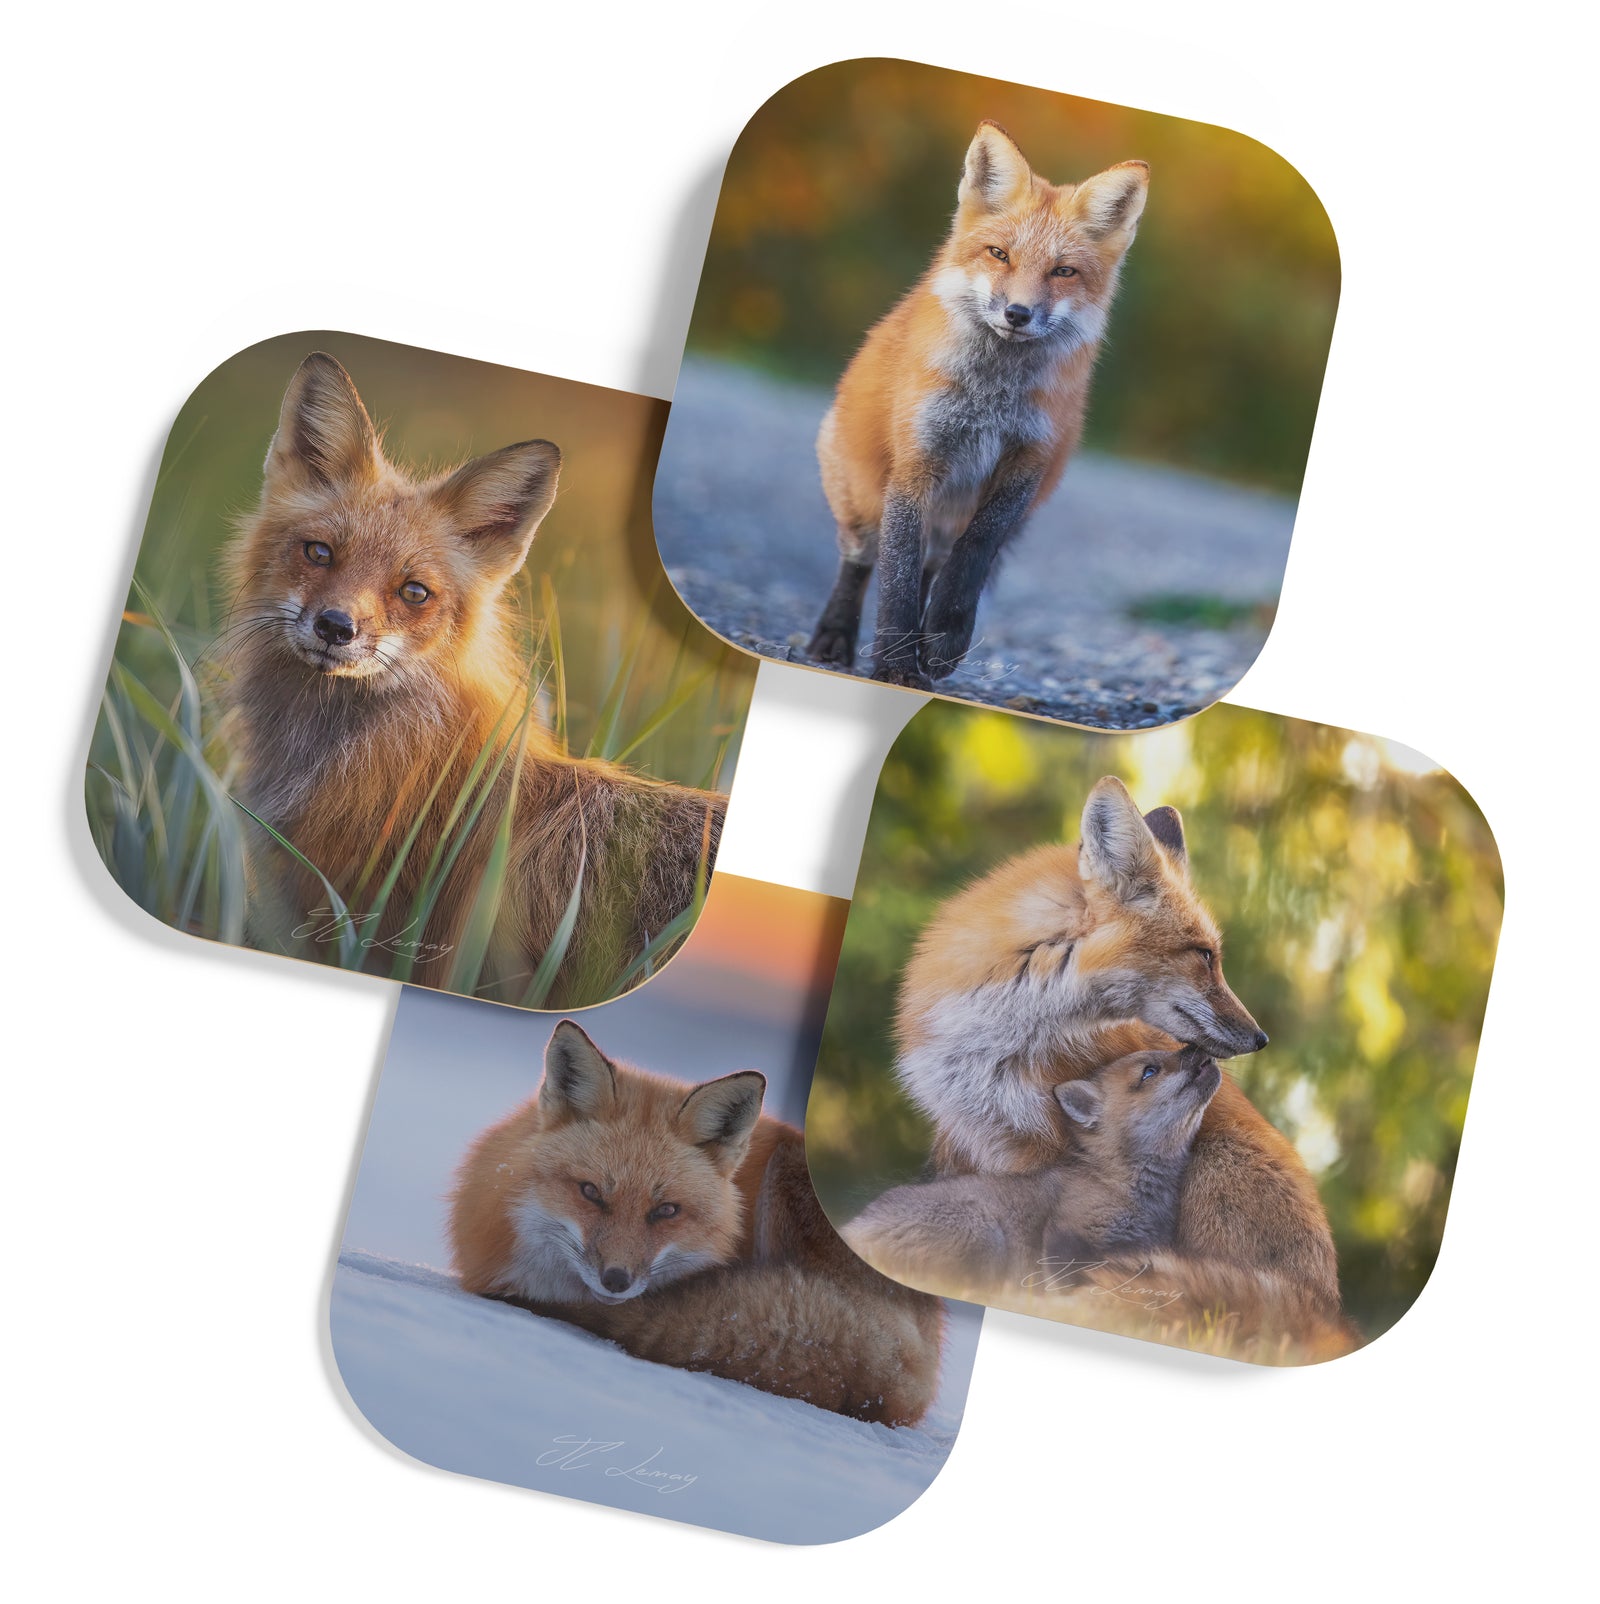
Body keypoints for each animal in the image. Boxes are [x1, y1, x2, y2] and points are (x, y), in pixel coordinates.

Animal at [808, 120, 1149, 687]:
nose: (1018, 313)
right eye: (999, 254)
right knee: (861, 560)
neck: (991, 397)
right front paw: (895, 664)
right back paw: (834, 637)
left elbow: (974, 550)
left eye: (1063, 272)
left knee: (936, 563)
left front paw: (944, 636)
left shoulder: (1029, 460)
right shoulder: (916, 462)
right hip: (858, 497)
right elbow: (897, 577)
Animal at [892, 774, 1343, 1324]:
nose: (1261, 1038)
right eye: (1204, 955)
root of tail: (1322, 1306)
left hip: (1216, 1160)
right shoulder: (975, 1148)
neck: (994, 1047)